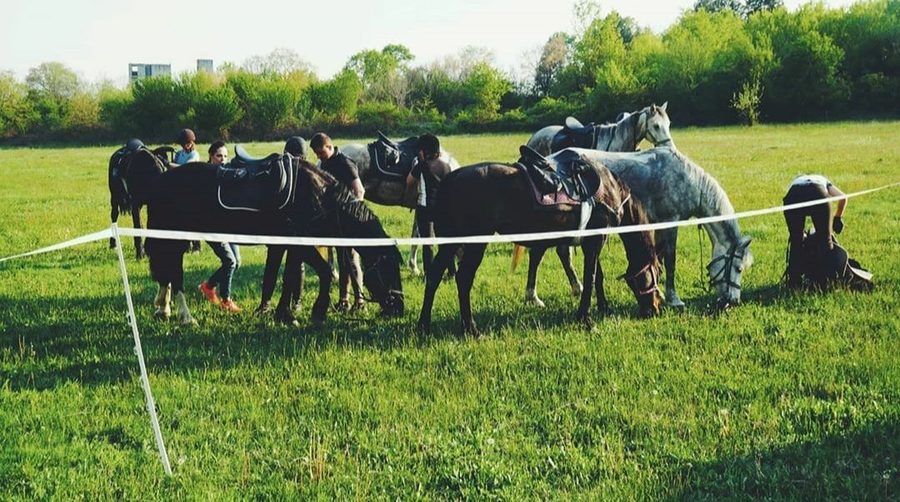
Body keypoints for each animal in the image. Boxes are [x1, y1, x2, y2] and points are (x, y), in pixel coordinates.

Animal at [146, 159, 406, 328]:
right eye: (387, 267)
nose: (398, 308)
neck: (319, 195)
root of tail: (161, 179)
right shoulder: (300, 243)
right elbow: (325, 272)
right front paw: (316, 312)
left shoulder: (287, 245)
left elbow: (288, 277)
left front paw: (284, 313)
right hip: (176, 239)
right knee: (174, 273)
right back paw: (185, 316)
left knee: (166, 272)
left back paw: (163, 307)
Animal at [418, 150, 664, 338]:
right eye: (654, 274)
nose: (654, 309)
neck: (608, 188)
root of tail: (449, 180)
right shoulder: (595, 240)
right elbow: (590, 277)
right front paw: (586, 318)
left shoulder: (592, 240)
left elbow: (597, 276)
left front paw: (603, 307)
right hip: (475, 243)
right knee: (463, 279)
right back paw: (471, 329)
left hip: (450, 243)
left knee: (434, 275)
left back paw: (424, 324)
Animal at [528, 145, 752, 310]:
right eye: (738, 268)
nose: (734, 301)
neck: (684, 179)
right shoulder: (671, 223)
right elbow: (670, 261)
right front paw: (674, 299)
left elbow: (658, 261)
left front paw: (659, 293)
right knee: (538, 254)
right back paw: (534, 297)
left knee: (561, 252)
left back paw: (575, 288)